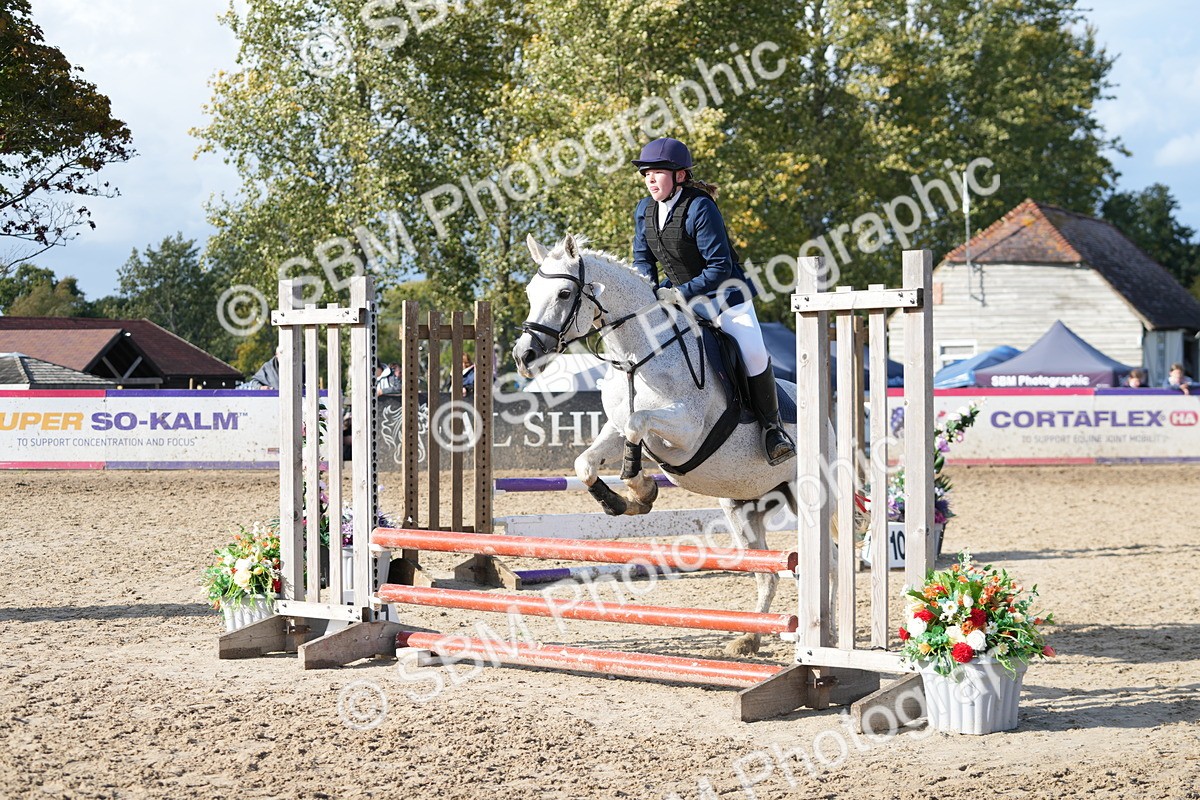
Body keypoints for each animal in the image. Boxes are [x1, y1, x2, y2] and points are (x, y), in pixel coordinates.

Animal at [513, 233, 801, 656]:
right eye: (531, 292)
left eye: (565, 293)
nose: (523, 356)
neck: (637, 355)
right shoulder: (615, 428)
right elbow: (588, 462)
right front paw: (625, 500)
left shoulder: (687, 430)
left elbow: (639, 425)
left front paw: (640, 485)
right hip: (743, 506)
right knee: (769, 572)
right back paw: (749, 638)